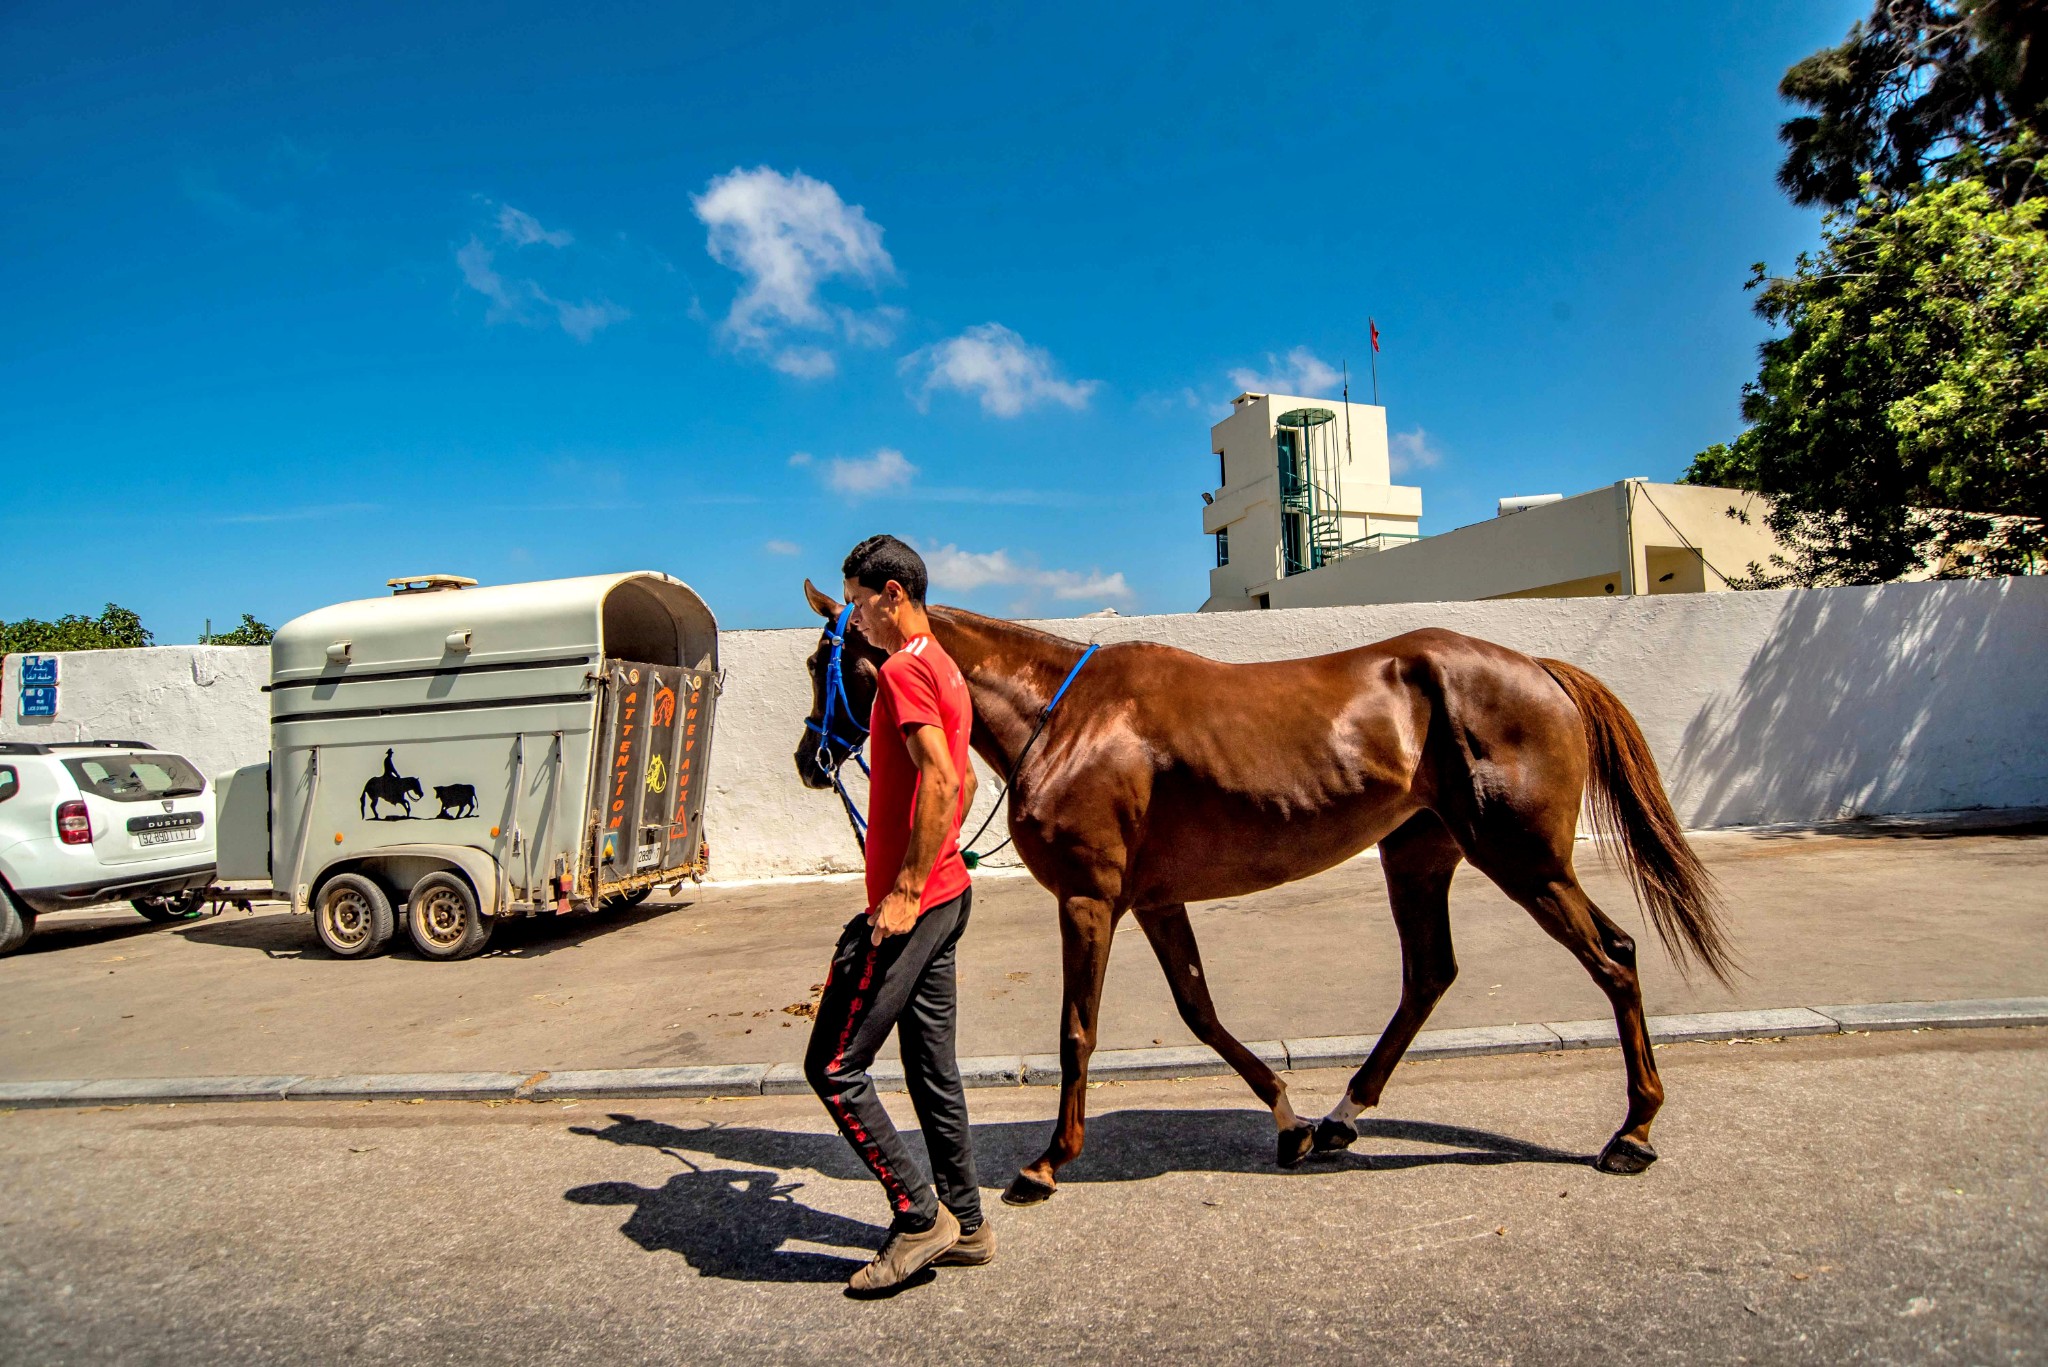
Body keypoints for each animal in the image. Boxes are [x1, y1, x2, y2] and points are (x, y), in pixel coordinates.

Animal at [794, 582, 1728, 1205]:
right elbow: (1201, 1013)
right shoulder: (1155, 901)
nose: (810, 759)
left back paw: (1632, 1131)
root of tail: (1538, 667)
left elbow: (1077, 1032)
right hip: (1421, 855)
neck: (1066, 717)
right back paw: (1341, 1118)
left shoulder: (1091, 898)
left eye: (823, 659)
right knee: (1432, 974)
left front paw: (1046, 1162)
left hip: (1523, 858)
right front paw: (1287, 1119)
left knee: (1612, 957)